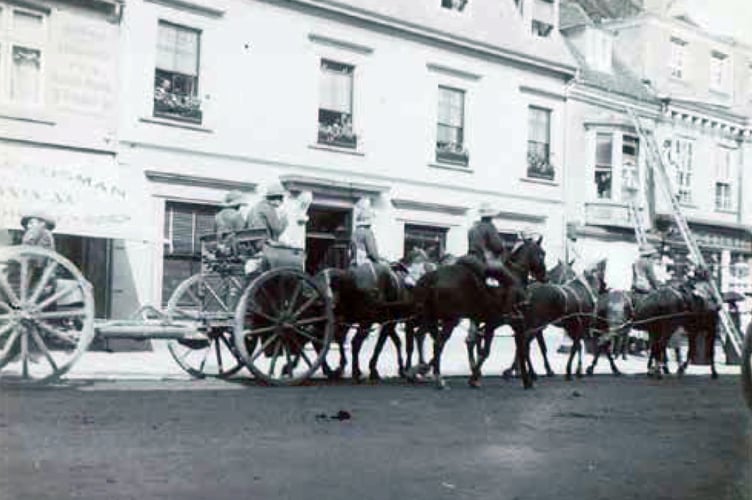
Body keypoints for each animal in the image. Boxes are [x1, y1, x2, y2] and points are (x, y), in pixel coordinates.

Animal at [412, 236, 548, 388]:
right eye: (542, 253)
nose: (545, 276)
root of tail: (434, 276)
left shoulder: (486, 322)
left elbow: (478, 345)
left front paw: (476, 376)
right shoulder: (505, 323)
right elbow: (494, 351)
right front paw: (526, 380)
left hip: (431, 317)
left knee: (423, 337)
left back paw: (422, 368)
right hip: (450, 319)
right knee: (438, 343)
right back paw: (438, 377)